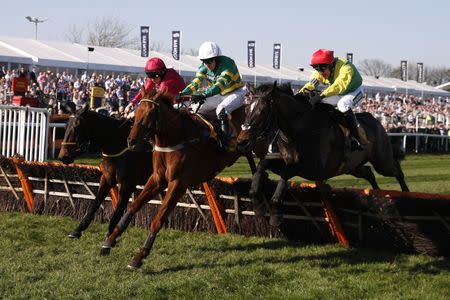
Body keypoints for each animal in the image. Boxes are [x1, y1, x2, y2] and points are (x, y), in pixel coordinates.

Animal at [58, 105, 153, 241]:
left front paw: (110, 236)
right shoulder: (107, 178)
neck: (117, 142)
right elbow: (95, 203)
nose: (63, 157)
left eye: (77, 127)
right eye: (65, 127)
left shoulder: (127, 183)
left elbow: (118, 210)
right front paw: (77, 230)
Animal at [99, 92, 260, 268]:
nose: (131, 141)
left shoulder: (178, 183)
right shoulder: (157, 179)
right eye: (136, 111)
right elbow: (133, 206)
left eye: (150, 113)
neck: (174, 140)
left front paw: (139, 256)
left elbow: (158, 218)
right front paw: (109, 241)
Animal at [237, 82, 410, 218]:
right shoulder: (289, 160)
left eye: (262, 111)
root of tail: (375, 120)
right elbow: (264, 163)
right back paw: (377, 194)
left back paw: (406, 192)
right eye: (245, 110)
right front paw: (256, 199)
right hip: (352, 167)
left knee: (396, 169)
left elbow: (286, 173)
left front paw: (275, 208)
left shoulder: (313, 169)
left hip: (382, 161)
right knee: (368, 172)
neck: (300, 130)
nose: (242, 141)